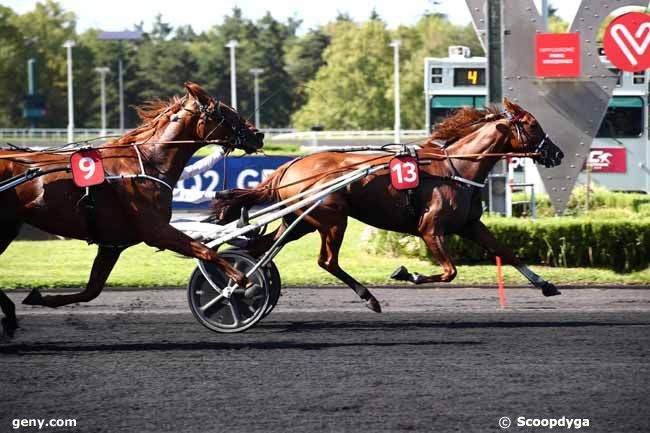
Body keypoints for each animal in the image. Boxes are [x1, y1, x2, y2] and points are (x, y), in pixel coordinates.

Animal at [0, 82, 264, 336]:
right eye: (224, 111)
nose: (259, 134)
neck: (147, 161)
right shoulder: (155, 230)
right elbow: (206, 251)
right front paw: (243, 283)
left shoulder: (111, 245)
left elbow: (91, 290)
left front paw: (41, 298)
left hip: (9, 227)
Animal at [211, 99, 560, 312]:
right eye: (532, 124)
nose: (557, 153)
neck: (456, 167)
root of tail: (289, 165)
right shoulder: (430, 229)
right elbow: (450, 271)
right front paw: (408, 273)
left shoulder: (471, 225)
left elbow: (507, 252)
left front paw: (546, 285)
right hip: (332, 220)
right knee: (327, 262)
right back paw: (369, 297)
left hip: (301, 222)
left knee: (259, 247)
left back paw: (242, 285)